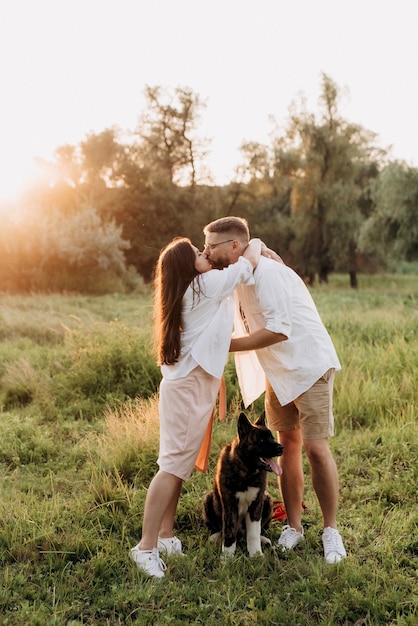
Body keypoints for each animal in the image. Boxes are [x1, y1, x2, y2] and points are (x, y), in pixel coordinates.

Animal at [202, 410, 282, 556]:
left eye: (272, 438)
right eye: (261, 440)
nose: (281, 448)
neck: (246, 470)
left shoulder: (256, 505)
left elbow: (253, 533)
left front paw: (256, 554)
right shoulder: (229, 505)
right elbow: (228, 532)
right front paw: (227, 557)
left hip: (267, 500)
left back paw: (263, 539)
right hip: (208, 499)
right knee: (219, 529)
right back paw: (216, 537)